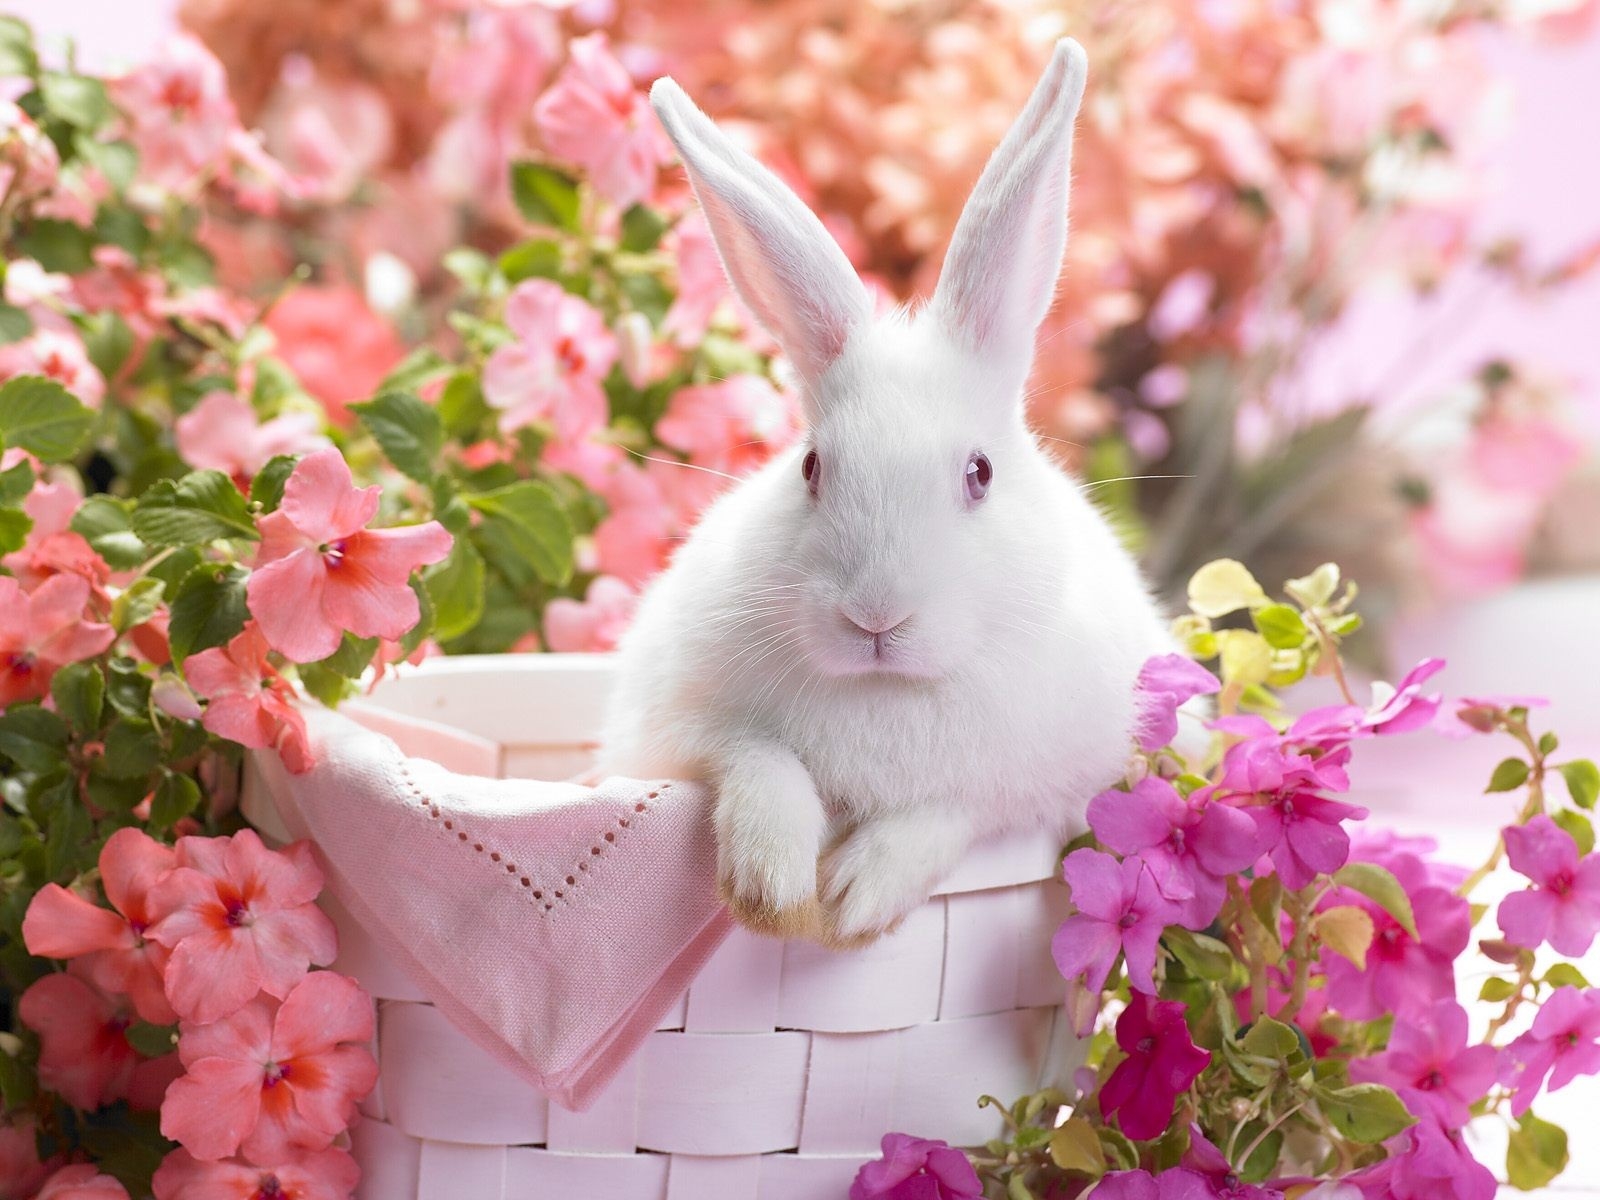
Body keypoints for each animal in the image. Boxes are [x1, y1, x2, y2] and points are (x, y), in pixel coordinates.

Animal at [597, 38, 1178, 946]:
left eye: (979, 473)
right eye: (810, 467)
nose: (876, 617)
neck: (885, 691)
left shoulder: (1042, 787)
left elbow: (949, 811)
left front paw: (853, 897)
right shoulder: (678, 728)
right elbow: (758, 759)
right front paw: (771, 887)